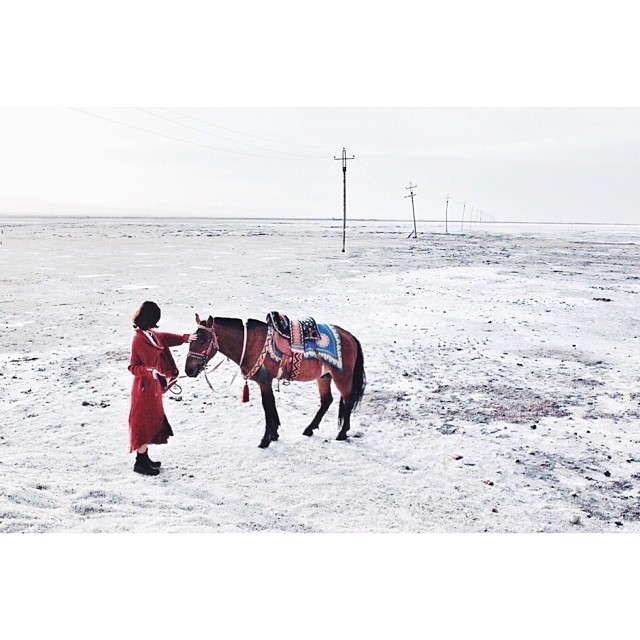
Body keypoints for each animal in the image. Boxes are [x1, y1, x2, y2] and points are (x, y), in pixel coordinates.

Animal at [185, 312, 364, 448]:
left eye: (203, 340)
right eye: (191, 340)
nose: (189, 370)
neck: (250, 343)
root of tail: (349, 336)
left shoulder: (265, 382)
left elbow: (267, 406)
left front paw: (266, 439)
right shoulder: (266, 382)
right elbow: (271, 406)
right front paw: (275, 434)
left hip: (342, 377)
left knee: (348, 399)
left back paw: (342, 433)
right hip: (324, 376)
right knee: (327, 400)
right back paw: (310, 429)